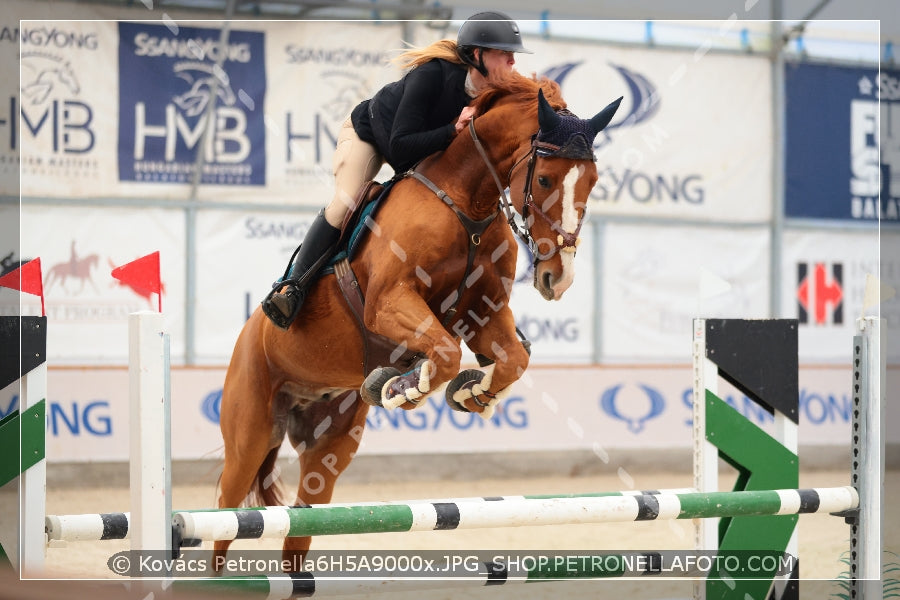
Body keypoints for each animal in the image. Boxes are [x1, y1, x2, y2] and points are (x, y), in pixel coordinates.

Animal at [214, 71, 624, 568]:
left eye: (593, 182)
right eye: (544, 178)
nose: (557, 277)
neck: (468, 204)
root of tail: (247, 335)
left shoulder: (483, 311)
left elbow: (510, 360)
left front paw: (471, 393)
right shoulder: (389, 302)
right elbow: (443, 353)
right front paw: (404, 387)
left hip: (328, 447)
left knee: (300, 524)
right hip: (249, 436)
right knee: (224, 518)